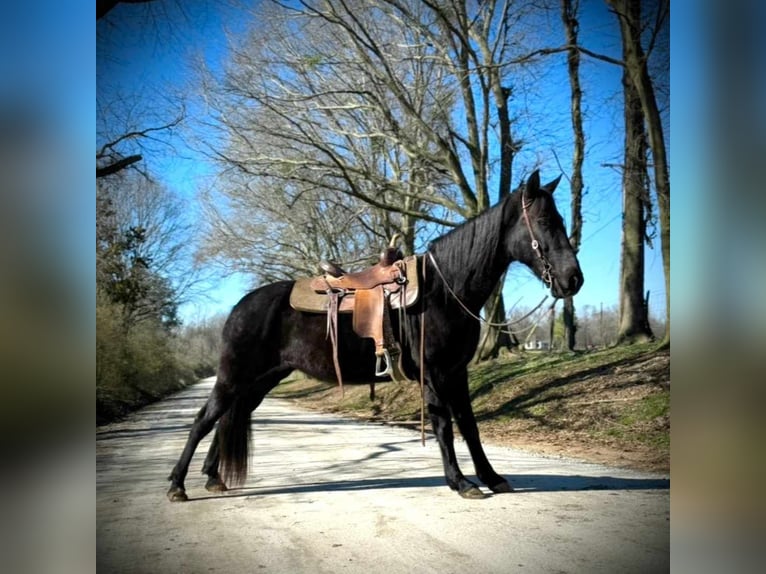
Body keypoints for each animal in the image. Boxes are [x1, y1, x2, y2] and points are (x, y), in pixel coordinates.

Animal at [170, 172, 584, 504]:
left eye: (560, 220)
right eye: (544, 220)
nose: (573, 279)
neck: (444, 290)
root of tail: (241, 306)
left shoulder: (457, 372)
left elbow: (469, 425)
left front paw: (491, 477)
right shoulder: (434, 373)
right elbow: (445, 427)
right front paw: (461, 482)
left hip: (260, 381)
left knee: (229, 416)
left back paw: (212, 478)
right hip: (234, 376)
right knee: (204, 419)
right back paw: (177, 485)